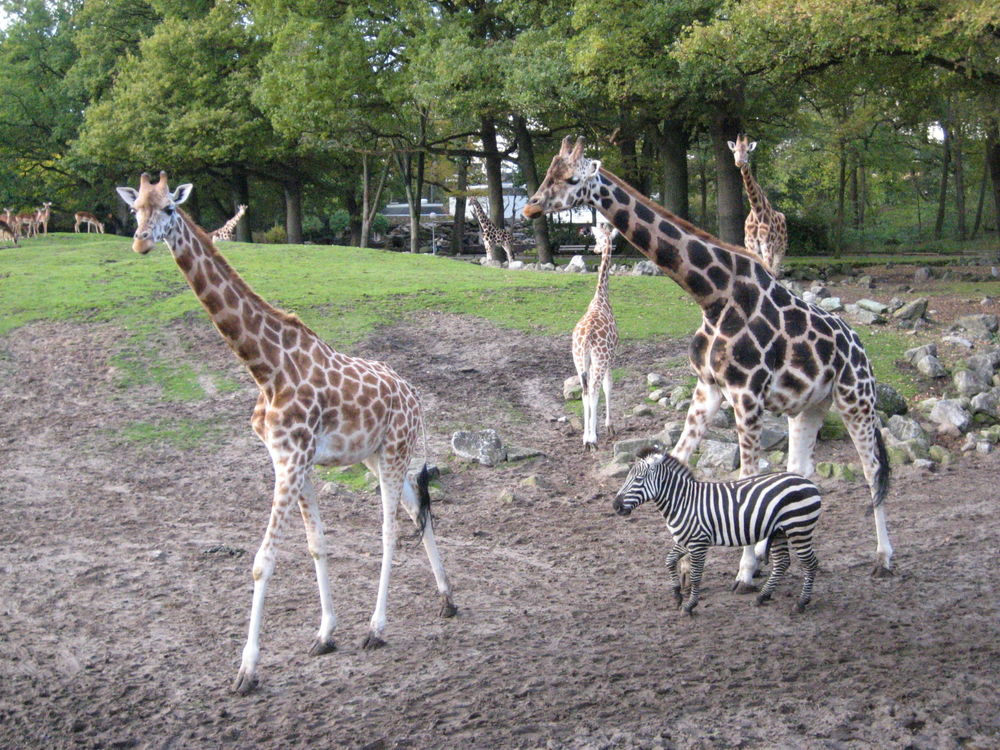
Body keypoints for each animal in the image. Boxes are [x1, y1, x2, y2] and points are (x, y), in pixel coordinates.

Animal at [117, 173, 458, 696]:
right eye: (134, 207)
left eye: (169, 209)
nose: (139, 241)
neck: (265, 369)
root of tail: (414, 395)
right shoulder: (291, 461)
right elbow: (317, 542)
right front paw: (325, 635)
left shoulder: (292, 461)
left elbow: (263, 560)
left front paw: (247, 671)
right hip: (379, 456)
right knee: (418, 511)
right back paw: (447, 601)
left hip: (395, 451)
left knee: (390, 532)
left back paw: (377, 629)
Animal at [616, 450, 820, 612]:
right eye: (627, 478)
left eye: (638, 480)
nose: (615, 506)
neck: (683, 501)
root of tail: (809, 482)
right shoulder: (685, 540)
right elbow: (669, 561)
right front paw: (676, 594)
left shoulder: (698, 542)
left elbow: (696, 576)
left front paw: (689, 606)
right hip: (779, 532)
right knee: (782, 563)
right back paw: (762, 596)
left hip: (799, 528)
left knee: (810, 563)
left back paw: (801, 603)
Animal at [728, 134, 788, 276]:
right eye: (734, 151)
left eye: (748, 151)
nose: (739, 162)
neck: (756, 210)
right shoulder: (751, 246)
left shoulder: (768, 244)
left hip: (781, 249)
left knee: (776, 272)